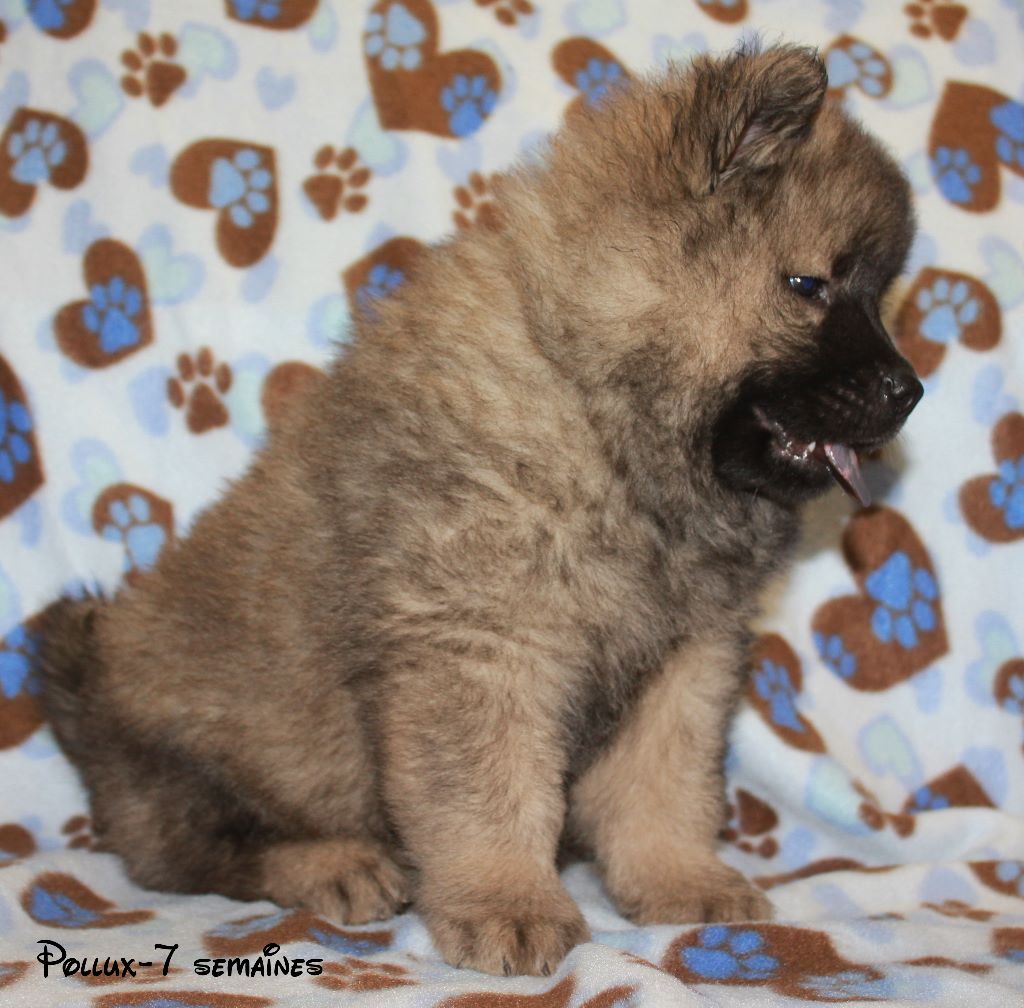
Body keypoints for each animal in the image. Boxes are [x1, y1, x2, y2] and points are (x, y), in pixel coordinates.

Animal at [39, 43, 922, 976]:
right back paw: (339, 865)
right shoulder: (481, 642)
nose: (910, 391)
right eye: (808, 285)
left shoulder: (683, 661)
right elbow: (492, 795)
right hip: (201, 754)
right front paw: (510, 906)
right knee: (200, 853)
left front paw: (680, 882)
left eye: (880, 294)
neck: (599, 407)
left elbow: (664, 789)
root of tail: (84, 680)